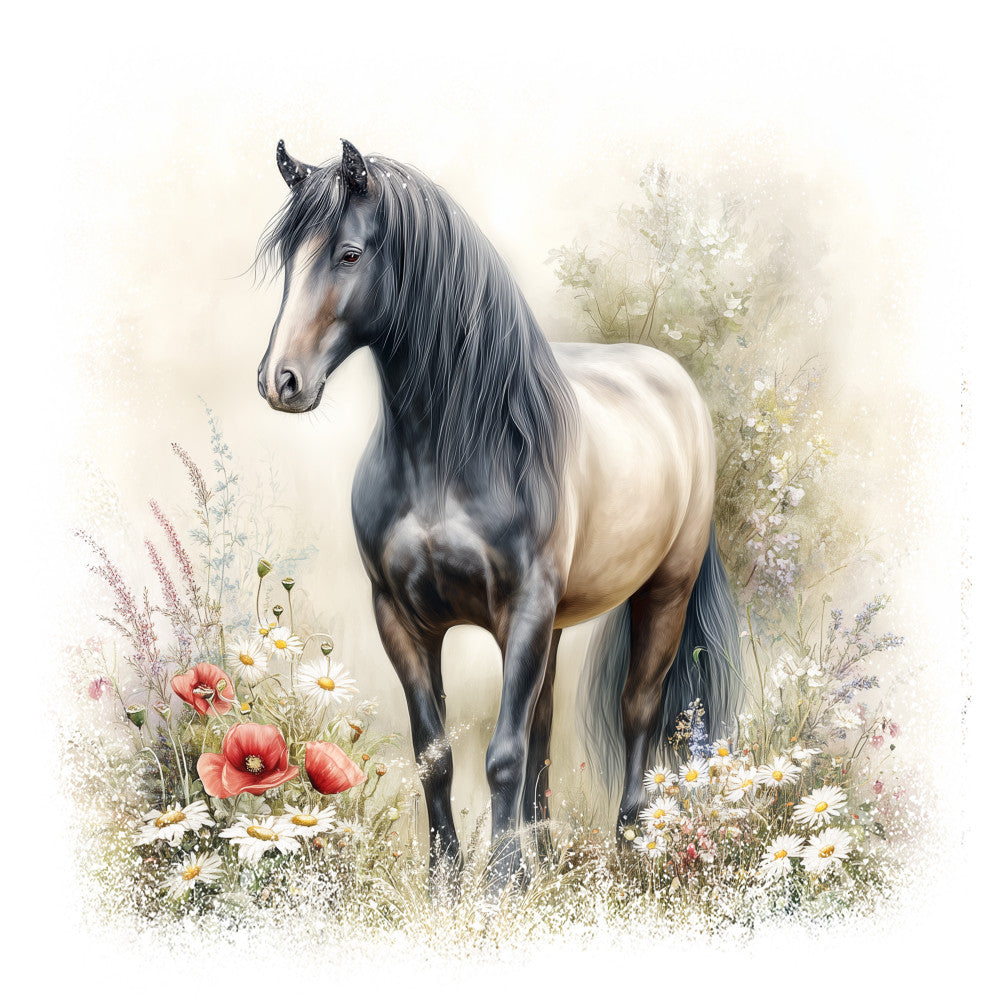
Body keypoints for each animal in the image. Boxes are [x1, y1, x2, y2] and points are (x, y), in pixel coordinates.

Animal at [256, 139, 741, 889]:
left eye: (349, 253)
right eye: (288, 259)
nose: (281, 381)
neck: (453, 454)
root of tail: (676, 385)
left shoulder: (523, 609)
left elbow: (504, 754)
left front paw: (500, 881)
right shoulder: (401, 619)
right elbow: (437, 754)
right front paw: (447, 880)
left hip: (660, 594)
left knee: (636, 712)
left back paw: (630, 846)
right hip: (556, 624)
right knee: (544, 725)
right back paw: (545, 855)